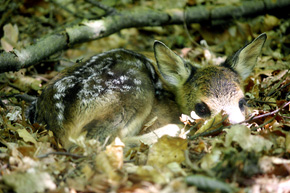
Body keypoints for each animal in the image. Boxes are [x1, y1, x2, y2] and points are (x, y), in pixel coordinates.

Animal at [28, 34, 266, 150]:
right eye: (201, 108)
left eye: (243, 102)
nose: (236, 129)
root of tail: (59, 123)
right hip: (135, 90)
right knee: (99, 141)